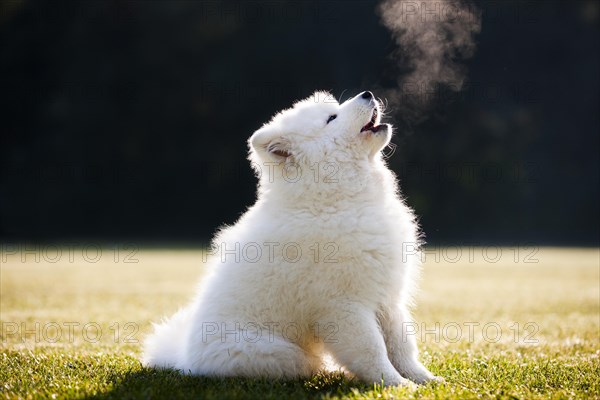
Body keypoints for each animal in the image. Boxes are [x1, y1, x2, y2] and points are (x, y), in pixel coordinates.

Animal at [143, 91, 438, 388]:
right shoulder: (343, 306)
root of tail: (186, 360)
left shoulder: (388, 298)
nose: (367, 94)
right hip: (279, 352)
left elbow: (402, 345)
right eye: (332, 118)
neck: (333, 200)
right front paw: (397, 385)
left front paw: (426, 379)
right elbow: (372, 349)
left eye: (334, 109)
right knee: (305, 365)